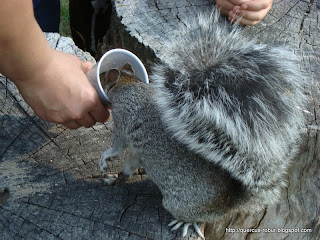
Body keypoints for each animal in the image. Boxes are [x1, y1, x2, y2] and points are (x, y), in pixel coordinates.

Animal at [98, 9, 308, 238]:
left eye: (102, 75)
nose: (99, 73)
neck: (127, 84)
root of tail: (229, 203)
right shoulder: (137, 150)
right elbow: (129, 165)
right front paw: (114, 179)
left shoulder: (122, 119)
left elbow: (117, 145)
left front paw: (105, 158)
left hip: (177, 204)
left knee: (201, 218)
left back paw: (186, 223)